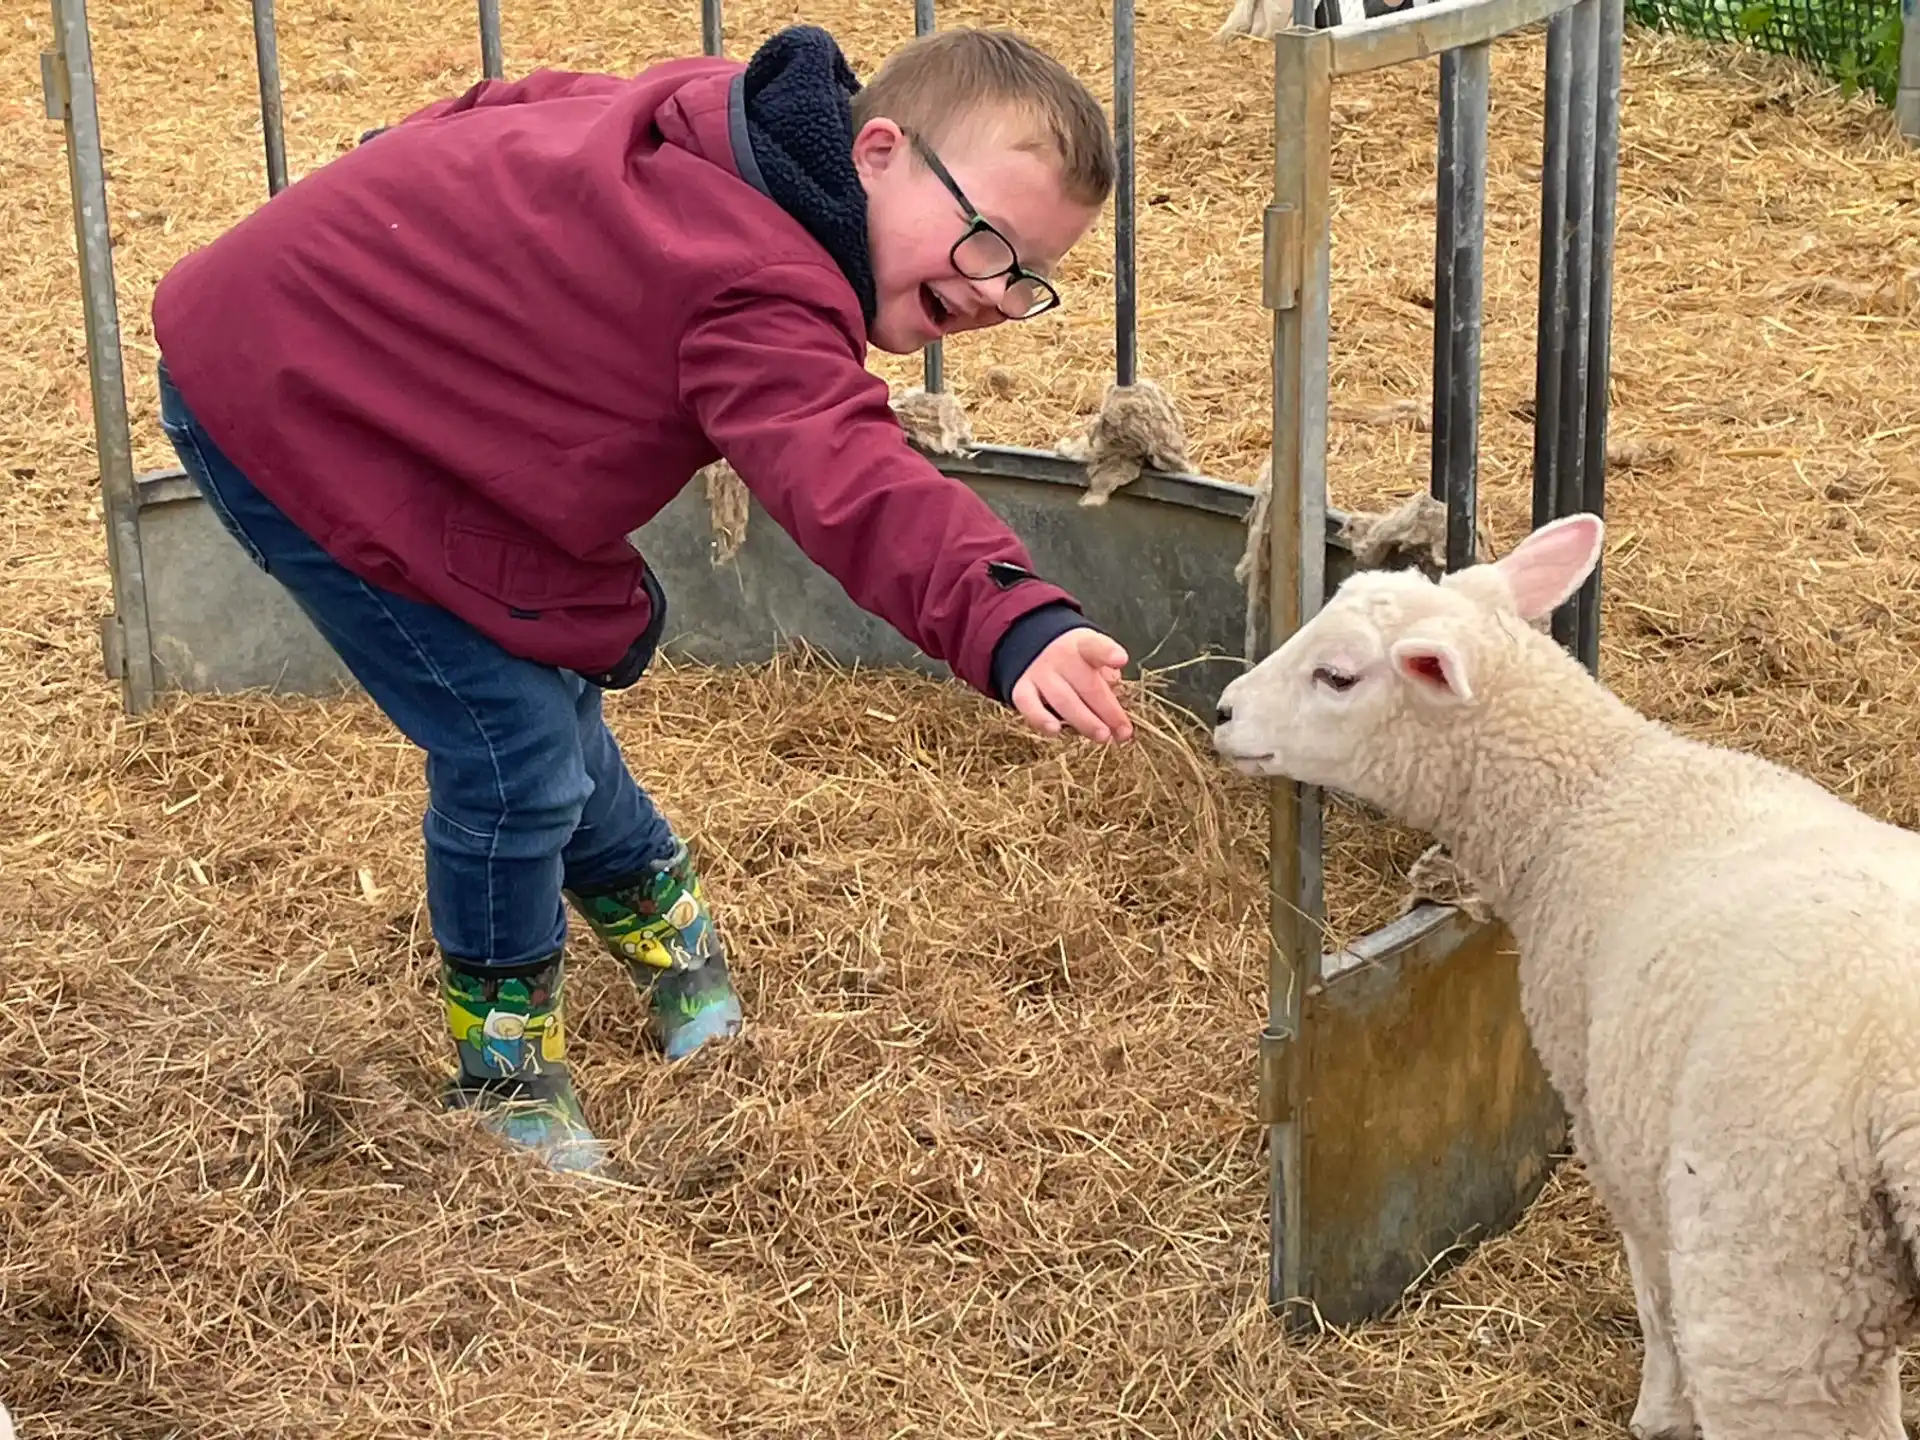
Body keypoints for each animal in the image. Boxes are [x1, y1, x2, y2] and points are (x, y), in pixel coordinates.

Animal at [1210, 511, 1920, 1440]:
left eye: (1338, 675)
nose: (1224, 712)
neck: (1585, 799)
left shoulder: (1615, 1131)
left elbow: (1655, 1296)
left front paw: (1659, 1410)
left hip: (1784, 1263)